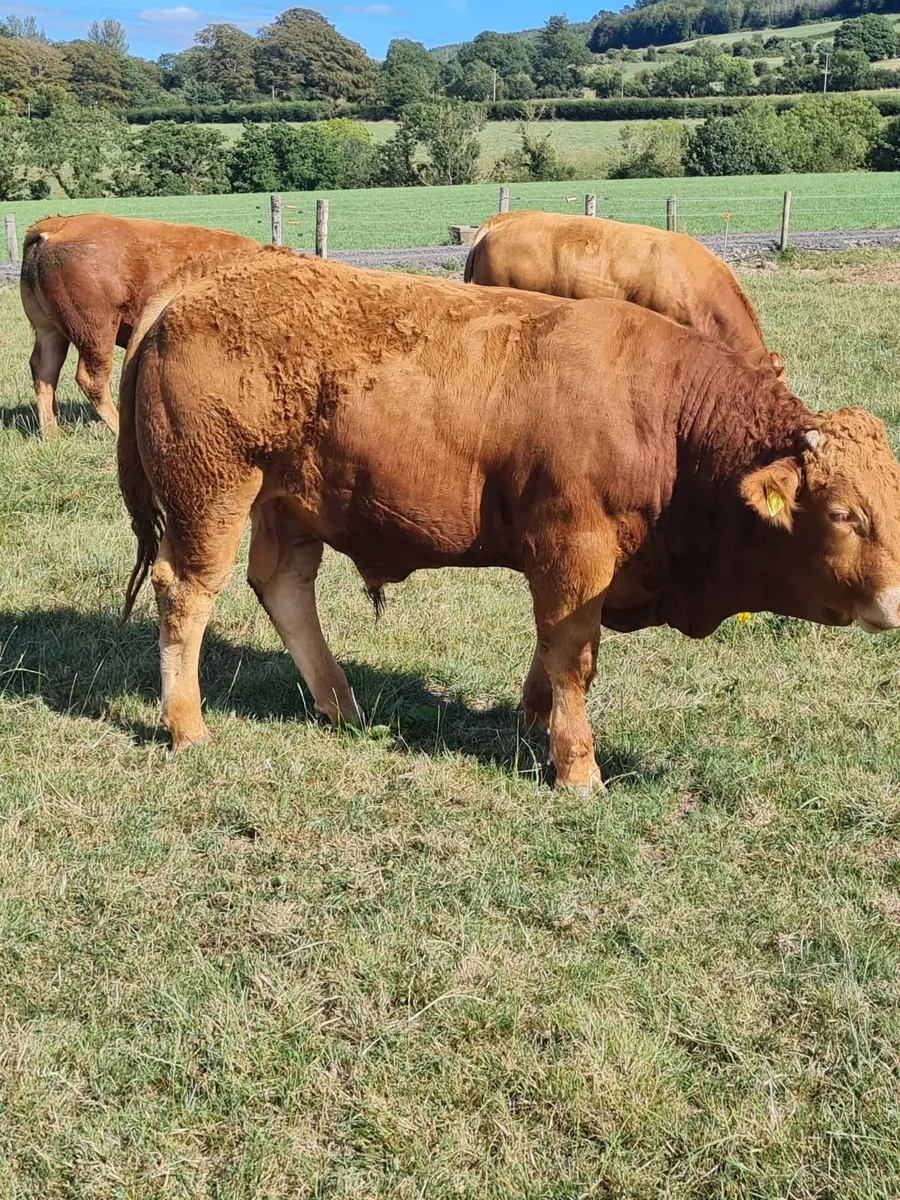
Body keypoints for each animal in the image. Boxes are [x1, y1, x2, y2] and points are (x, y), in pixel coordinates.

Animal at [20, 213, 258, 438]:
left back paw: (51, 434)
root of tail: (57, 226)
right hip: (96, 332)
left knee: (45, 372)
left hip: (50, 331)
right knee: (91, 379)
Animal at [117, 247, 900, 790]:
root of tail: (198, 283)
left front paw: (533, 718)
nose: (897, 600)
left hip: (290, 502)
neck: (668, 423)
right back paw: (187, 725)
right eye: (844, 513)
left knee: (282, 586)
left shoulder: (584, 570)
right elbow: (573, 654)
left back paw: (342, 707)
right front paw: (577, 768)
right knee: (186, 593)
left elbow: (552, 649)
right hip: (213, 493)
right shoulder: (573, 546)